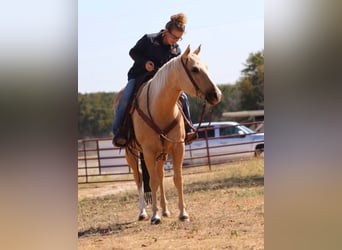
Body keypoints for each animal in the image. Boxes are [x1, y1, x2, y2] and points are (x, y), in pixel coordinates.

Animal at [120, 45, 222, 225]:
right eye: (194, 69)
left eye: (207, 67)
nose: (216, 95)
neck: (160, 108)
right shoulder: (148, 152)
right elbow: (151, 182)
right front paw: (155, 216)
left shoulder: (177, 148)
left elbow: (176, 179)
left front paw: (183, 213)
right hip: (130, 153)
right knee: (139, 178)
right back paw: (143, 213)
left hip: (161, 154)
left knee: (160, 176)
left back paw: (165, 210)